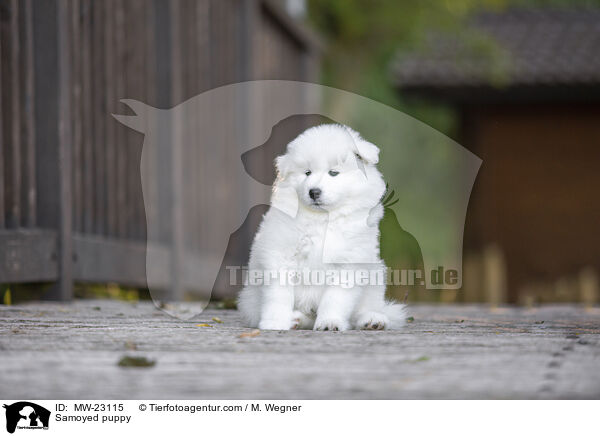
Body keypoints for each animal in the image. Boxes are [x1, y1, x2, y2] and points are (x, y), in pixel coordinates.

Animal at [237, 123, 406, 330]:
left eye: (333, 173)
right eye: (307, 172)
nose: (314, 192)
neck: (323, 219)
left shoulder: (349, 262)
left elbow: (335, 298)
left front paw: (329, 322)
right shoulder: (280, 253)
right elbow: (279, 294)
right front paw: (275, 322)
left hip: (375, 276)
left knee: (365, 308)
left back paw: (373, 320)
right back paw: (295, 320)